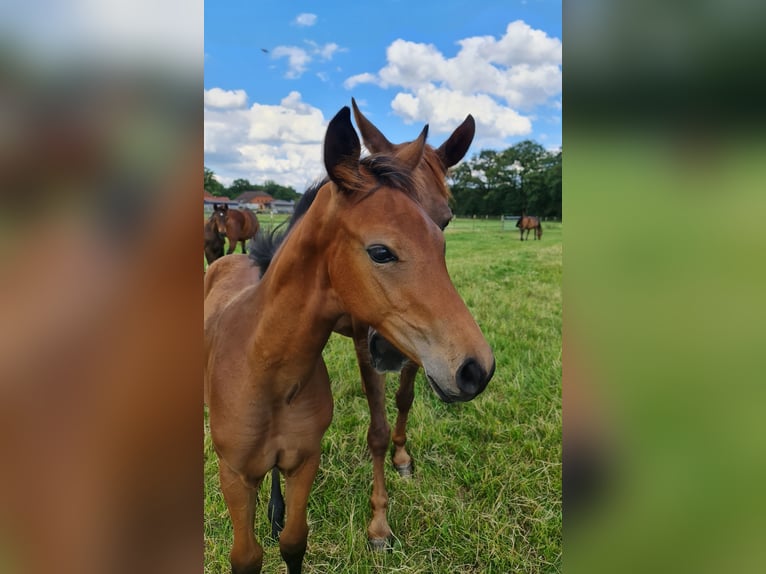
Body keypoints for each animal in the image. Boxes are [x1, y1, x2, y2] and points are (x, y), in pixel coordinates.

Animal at [204, 109, 496, 574]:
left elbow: (404, 400)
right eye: (380, 251)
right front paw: (379, 527)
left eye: (444, 227)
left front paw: (401, 459)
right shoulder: (367, 338)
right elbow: (376, 430)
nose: (476, 369)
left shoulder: (408, 347)